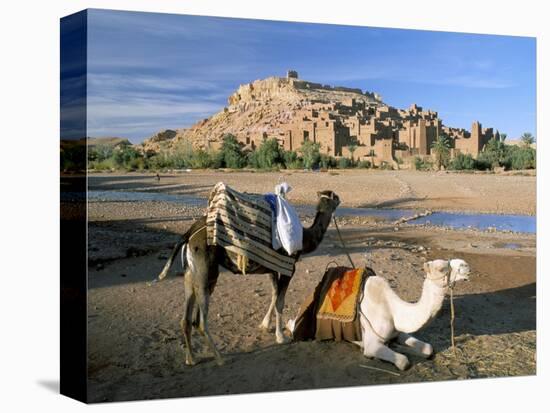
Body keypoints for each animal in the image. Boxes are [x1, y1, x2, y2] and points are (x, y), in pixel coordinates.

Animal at [152, 189, 340, 364]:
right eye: (334, 197)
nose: (340, 199)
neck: (304, 238)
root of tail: (189, 234)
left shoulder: (272, 269)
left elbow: (274, 295)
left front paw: (265, 325)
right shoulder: (289, 267)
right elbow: (280, 301)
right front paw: (281, 337)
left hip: (191, 274)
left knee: (186, 318)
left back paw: (191, 359)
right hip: (206, 272)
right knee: (200, 321)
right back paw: (220, 358)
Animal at [286, 258, 472, 370]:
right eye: (442, 268)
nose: (466, 266)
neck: (393, 309)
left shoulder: (397, 331)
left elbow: (428, 348)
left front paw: (398, 346)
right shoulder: (372, 344)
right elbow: (403, 362)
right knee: (293, 323)